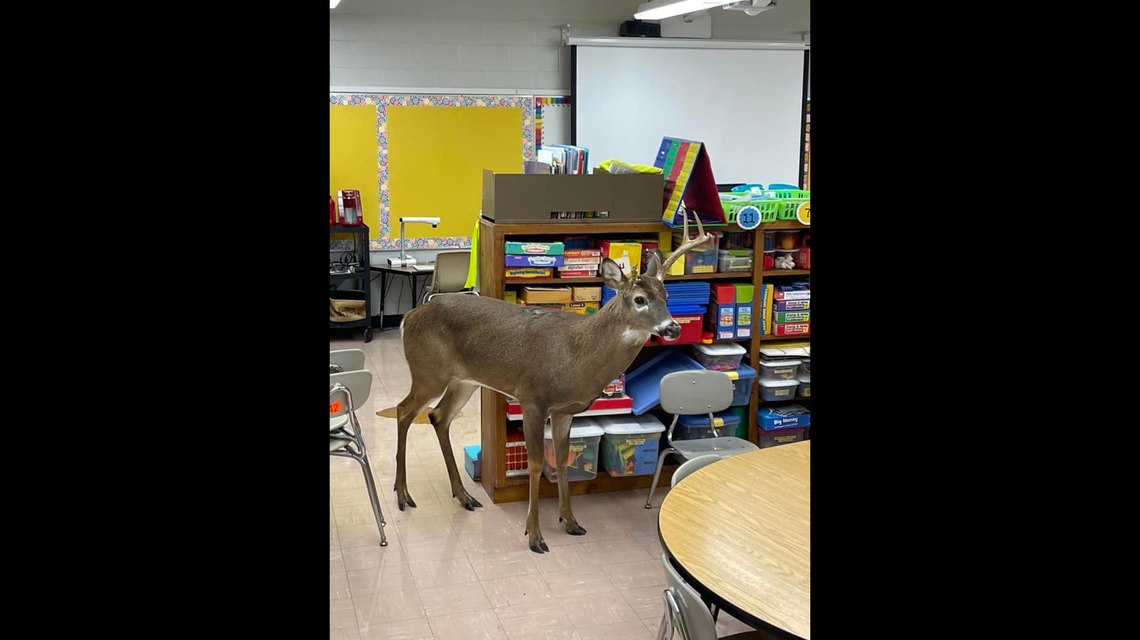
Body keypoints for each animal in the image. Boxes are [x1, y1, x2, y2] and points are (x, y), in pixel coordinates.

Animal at [395, 213, 712, 553]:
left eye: (666, 297)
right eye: (640, 300)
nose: (673, 328)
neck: (574, 356)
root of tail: (407, 318)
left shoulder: (564, 411)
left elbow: (560, 459)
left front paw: (571, 522)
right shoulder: (532, 398)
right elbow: (535, 463)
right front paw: (535, 536)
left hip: (464, 380)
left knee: (438, 416)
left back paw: (464, 496)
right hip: (428, 372)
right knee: (403, 411)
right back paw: (402, 495)